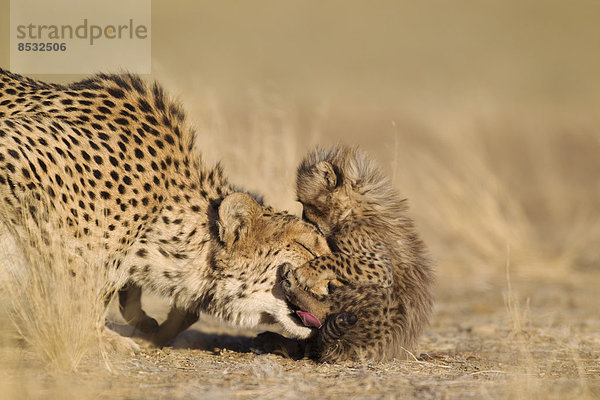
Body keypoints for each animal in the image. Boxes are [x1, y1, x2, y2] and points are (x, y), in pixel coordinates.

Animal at [0, 69, 328, 346]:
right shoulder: (16, 150)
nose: (334, 289)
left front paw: (144, 323)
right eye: (306, 246)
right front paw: (100, 338)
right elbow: (77, 281)